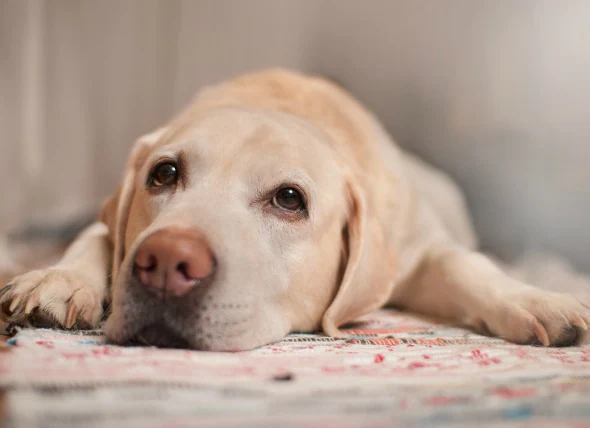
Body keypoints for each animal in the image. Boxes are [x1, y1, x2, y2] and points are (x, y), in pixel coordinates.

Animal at [2, 69, 588, 352]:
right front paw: (58, 280)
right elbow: (97, 235)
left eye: (289, 199)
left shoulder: (420, 250)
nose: (167, 262)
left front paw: (536, 300)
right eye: (163, 174)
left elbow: (466, 264)